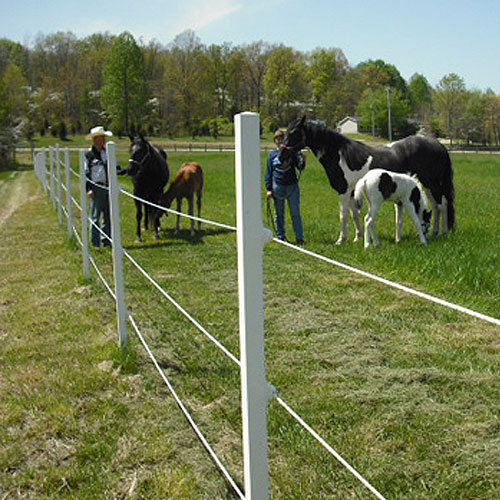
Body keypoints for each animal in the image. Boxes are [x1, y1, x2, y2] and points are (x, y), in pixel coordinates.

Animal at [280, 115, 456, 244]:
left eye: (293, 132)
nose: (281, 156)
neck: (339, 154)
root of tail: (440, 145)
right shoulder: (352, 192)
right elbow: (354, 214)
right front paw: (357, 237)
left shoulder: (344, 191)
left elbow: (343, 215)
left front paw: (341, 240)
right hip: (427, 185)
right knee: (436, 206)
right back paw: (435, 233)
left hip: (432, 183)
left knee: (442, 204)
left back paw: (443, 233)